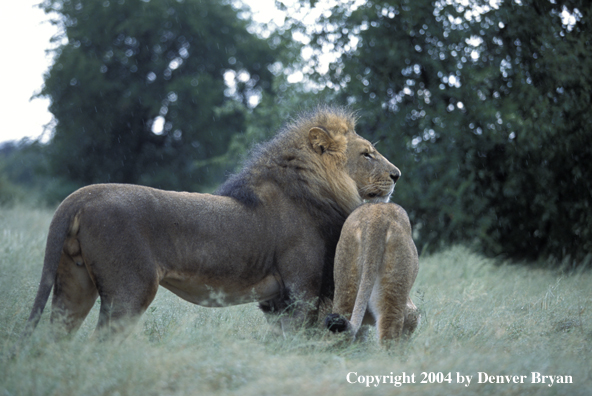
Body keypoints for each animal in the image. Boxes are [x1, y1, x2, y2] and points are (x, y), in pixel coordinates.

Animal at [25, 106, 400, 338]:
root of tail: (80, 197)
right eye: (367, 154)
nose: (397, 174)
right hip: (129, 290)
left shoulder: (276, 301)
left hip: (74, 286)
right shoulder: (301, 291)